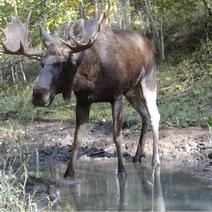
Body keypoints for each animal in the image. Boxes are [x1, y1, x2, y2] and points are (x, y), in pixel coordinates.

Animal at [1, 10, 161, 178]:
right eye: (41, 63)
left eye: (62, 62)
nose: (39, 94)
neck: (88, 78)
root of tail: (150, 44)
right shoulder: (83, 100)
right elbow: (77, 139)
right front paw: (69, 173)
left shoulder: (116, 96)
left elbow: (117, 136)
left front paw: (121, 171)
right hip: (131, 90)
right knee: (145, 115)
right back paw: (138, 155)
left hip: (148, 79)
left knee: (155, 115)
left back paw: (155, 159)